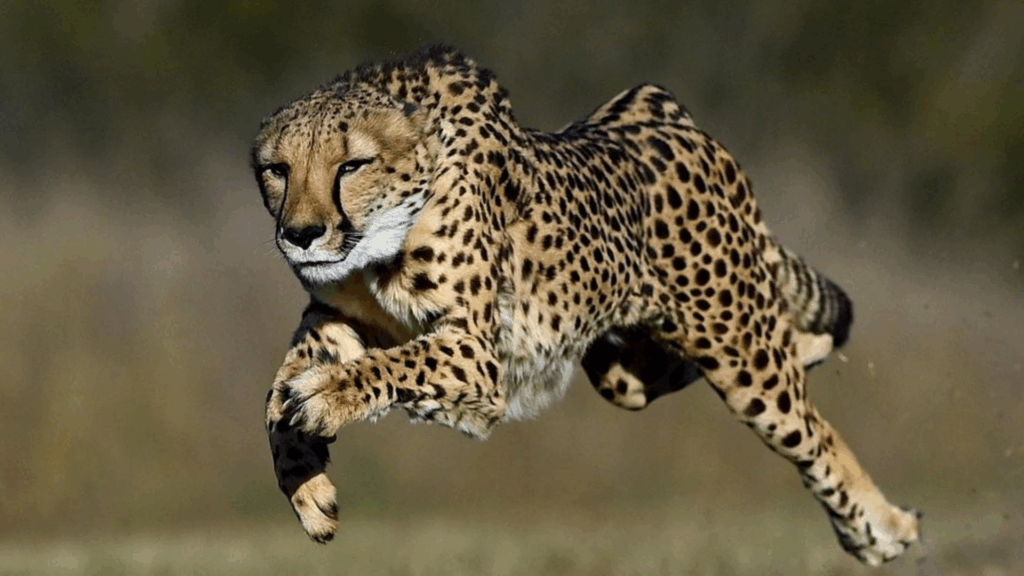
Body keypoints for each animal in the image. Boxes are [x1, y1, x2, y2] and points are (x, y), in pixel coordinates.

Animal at [252, 45, 919, 566]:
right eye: (277, 170)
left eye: (352, 165)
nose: (301, 234)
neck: (377, 245)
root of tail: (661, 110)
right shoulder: (334, 316)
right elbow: (276, 394)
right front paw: (305, 483)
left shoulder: (477, 354)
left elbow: (385, 367)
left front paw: (326, 398)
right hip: (622, 368)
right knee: (700, 367)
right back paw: (813, 348)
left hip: (739, 352)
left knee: (814, 430)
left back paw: (883, 529)